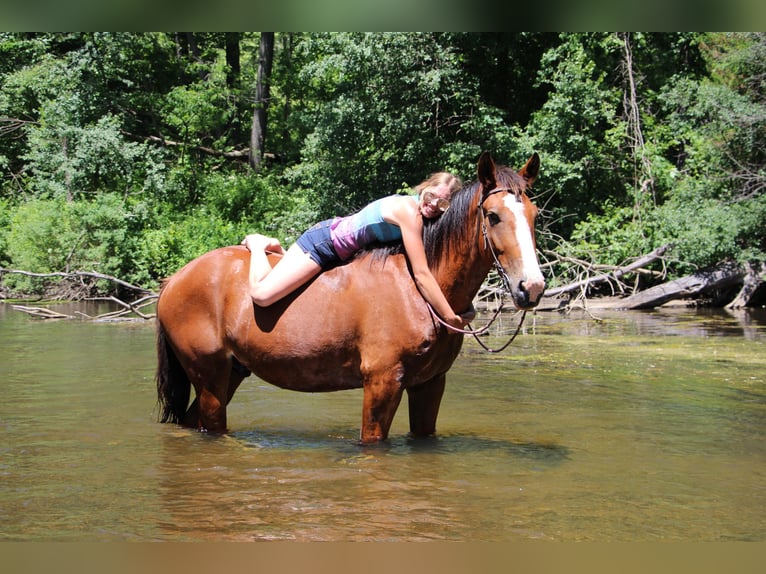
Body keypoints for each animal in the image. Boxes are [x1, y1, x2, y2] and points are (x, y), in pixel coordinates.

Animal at [156, 152, 544, 446]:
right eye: (493, 215)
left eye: (534, 215)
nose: (532, 287)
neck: (418, 292)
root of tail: (175, 280)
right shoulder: (382, 383)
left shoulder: (430, 384)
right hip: (209, 375)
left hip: (232, 372)